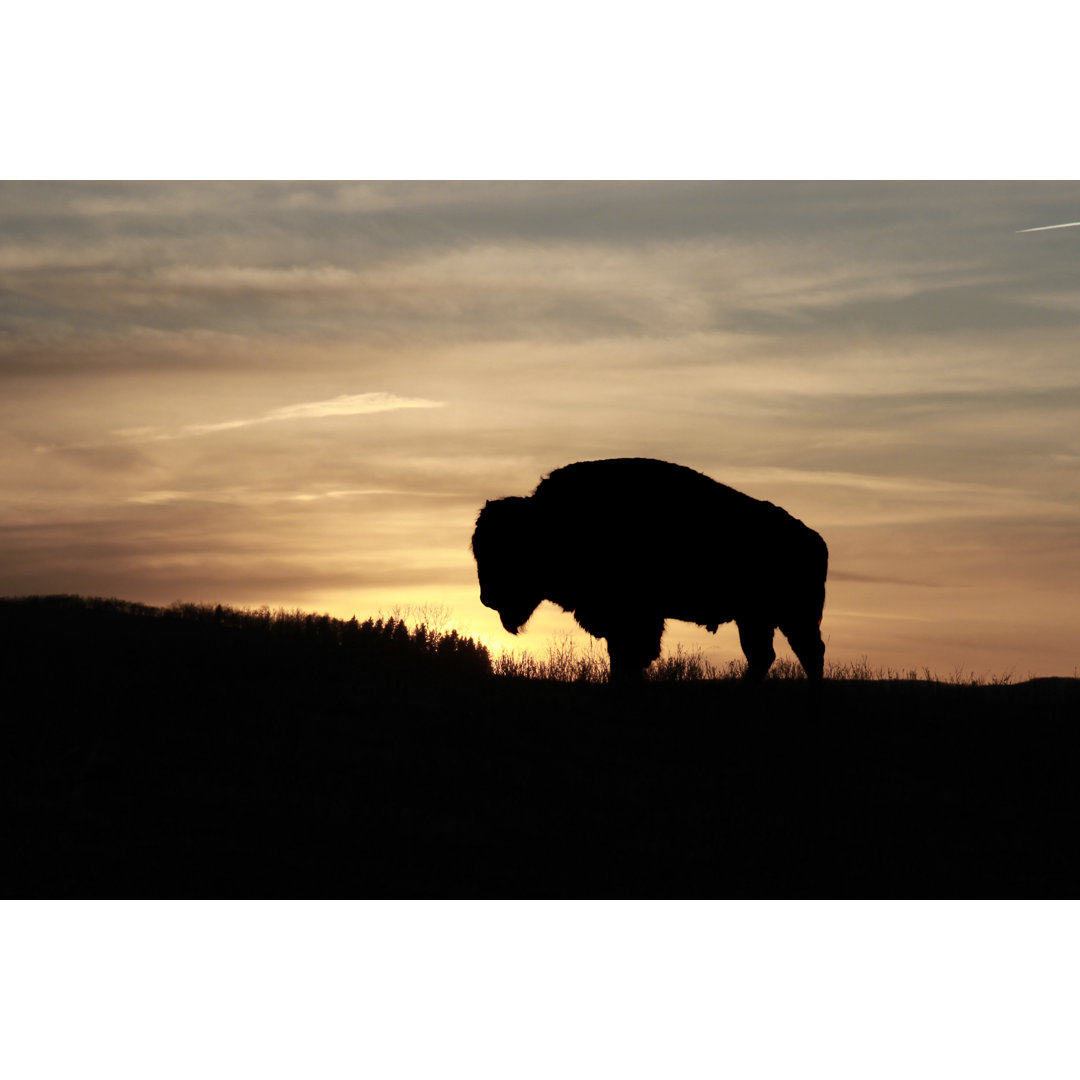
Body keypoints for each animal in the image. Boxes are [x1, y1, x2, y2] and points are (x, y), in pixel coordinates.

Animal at [468, 457, 829, 682]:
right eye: (479, 551)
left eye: (507, 551)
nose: (487, 598)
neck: (548, 522)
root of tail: (814, 541)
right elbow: (621, 658)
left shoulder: (635, 620)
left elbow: (631, 657)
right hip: (756, 618)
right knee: (765, 656)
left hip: (794, 616)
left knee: (808, 653)